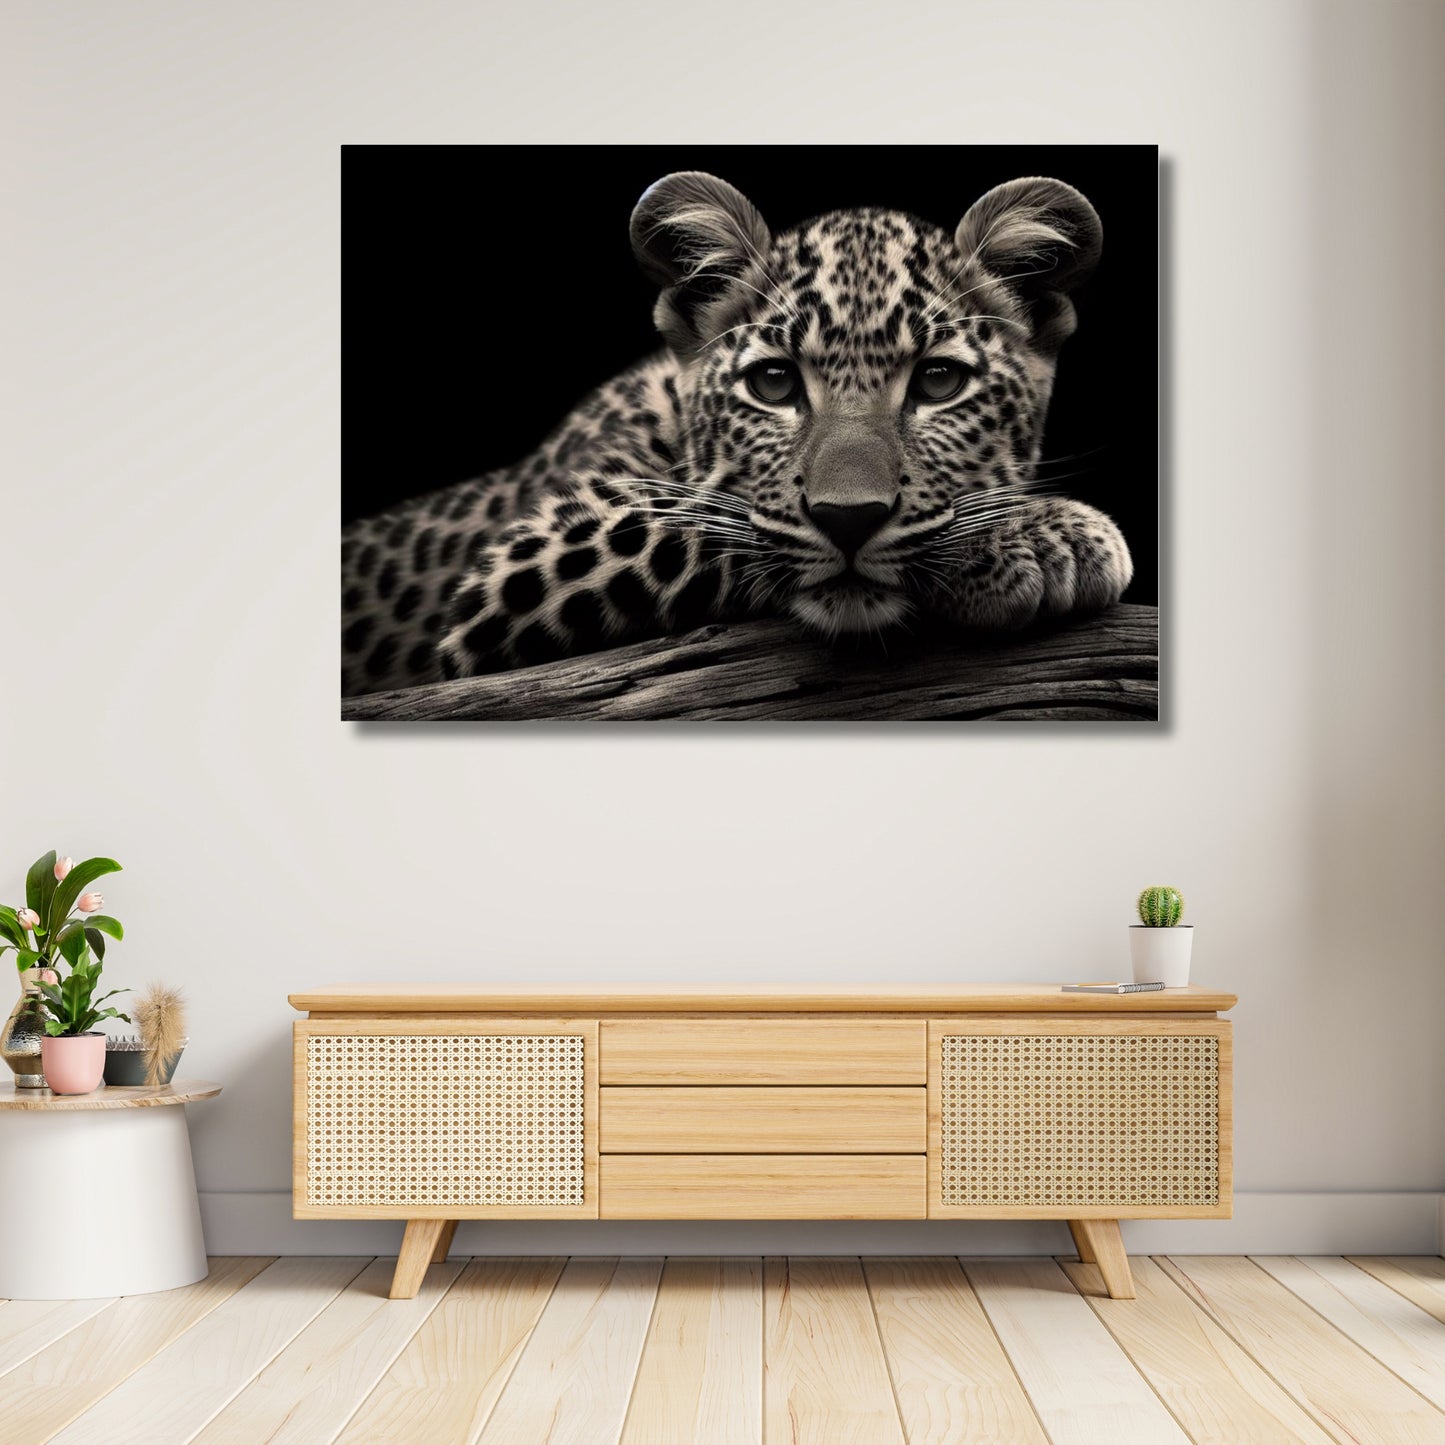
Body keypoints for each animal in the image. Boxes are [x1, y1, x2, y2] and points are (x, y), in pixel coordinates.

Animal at [341, 171, 1133, 697]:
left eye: (938, 382)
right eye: (773, 384)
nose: (849, 520)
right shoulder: (520, 564)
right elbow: (718, 521)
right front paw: (1035, 535)